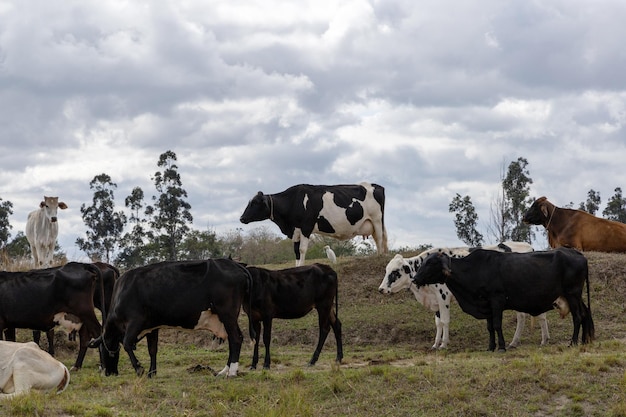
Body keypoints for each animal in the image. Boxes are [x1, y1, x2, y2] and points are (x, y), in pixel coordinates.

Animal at [88, 256, 254, 376]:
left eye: (102, 352)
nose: (107, 373)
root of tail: (235, 265)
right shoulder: (152, 326)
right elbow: (152, 349)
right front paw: (152, 373)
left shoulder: (135, 322)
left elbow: (127, 343)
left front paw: (139, 369)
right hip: (226, 318)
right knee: (232, 340)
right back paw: (224, 370)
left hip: (227, 314)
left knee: (236, 338)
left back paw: (232, 372)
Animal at [239, 181, 386, 264]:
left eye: (255, 202)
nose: (241, 218)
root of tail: (374, 185)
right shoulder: (295, 231)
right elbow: (296, 251)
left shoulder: (306, 227)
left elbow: (302, 249)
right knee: (378, 239)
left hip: (376, 219)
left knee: (379, 238)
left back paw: (380, 257)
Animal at [376, 240, 544, 348]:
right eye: (386, 270)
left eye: (394, 272)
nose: (381, 289)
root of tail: (529, 247)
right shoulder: (436, 301)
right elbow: (438, 323)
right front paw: (435, 343)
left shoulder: (443, 296)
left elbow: (445, 321)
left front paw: (443, 344)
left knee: (528, 316)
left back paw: (531, 341)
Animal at [412, 247, 592, 352]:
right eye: (424, 262)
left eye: (431, 263)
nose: (415, 279)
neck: (475, 269)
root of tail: (577, 253)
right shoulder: (486, 306)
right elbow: (490, 327)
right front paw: (491, 347)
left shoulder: (496, 301)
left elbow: (497, 325)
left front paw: (502, 347)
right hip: (575, 296)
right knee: (585, 314)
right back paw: (584, 340)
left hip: (572, 294)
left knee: (577, 317)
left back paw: (573, 342)